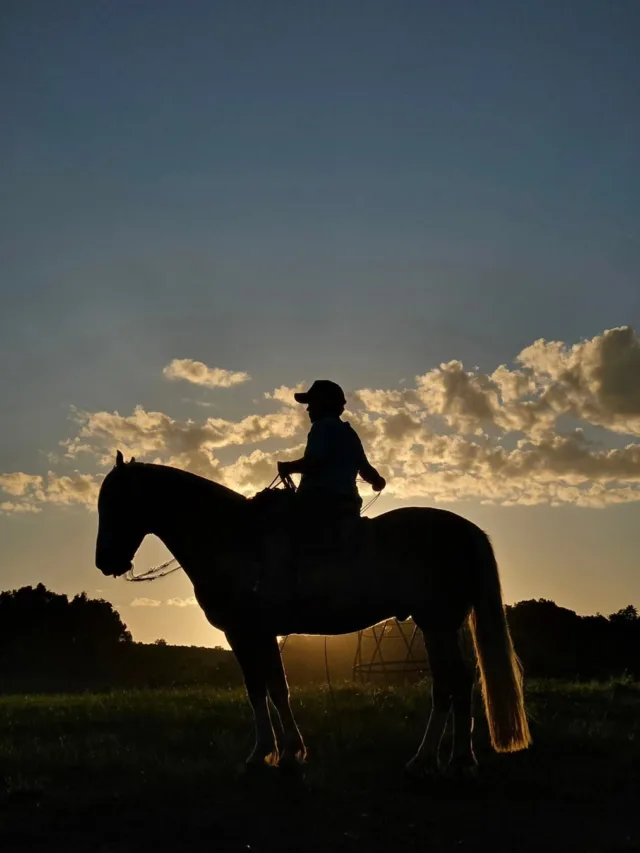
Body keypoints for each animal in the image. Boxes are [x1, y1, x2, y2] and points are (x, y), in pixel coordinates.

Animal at [95, 450, 532, 776]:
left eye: (115, 503)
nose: (105, 562)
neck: (233, 538)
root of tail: (466, 531)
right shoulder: (257, 634)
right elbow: (271, 688)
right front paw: (282, 751)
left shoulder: (246, 632)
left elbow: (264, 689)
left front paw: (272, 753)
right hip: (437, 625)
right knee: (453, 682)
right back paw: (442, 757)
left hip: (437, 623)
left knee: (452, 682)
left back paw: (445, 758)